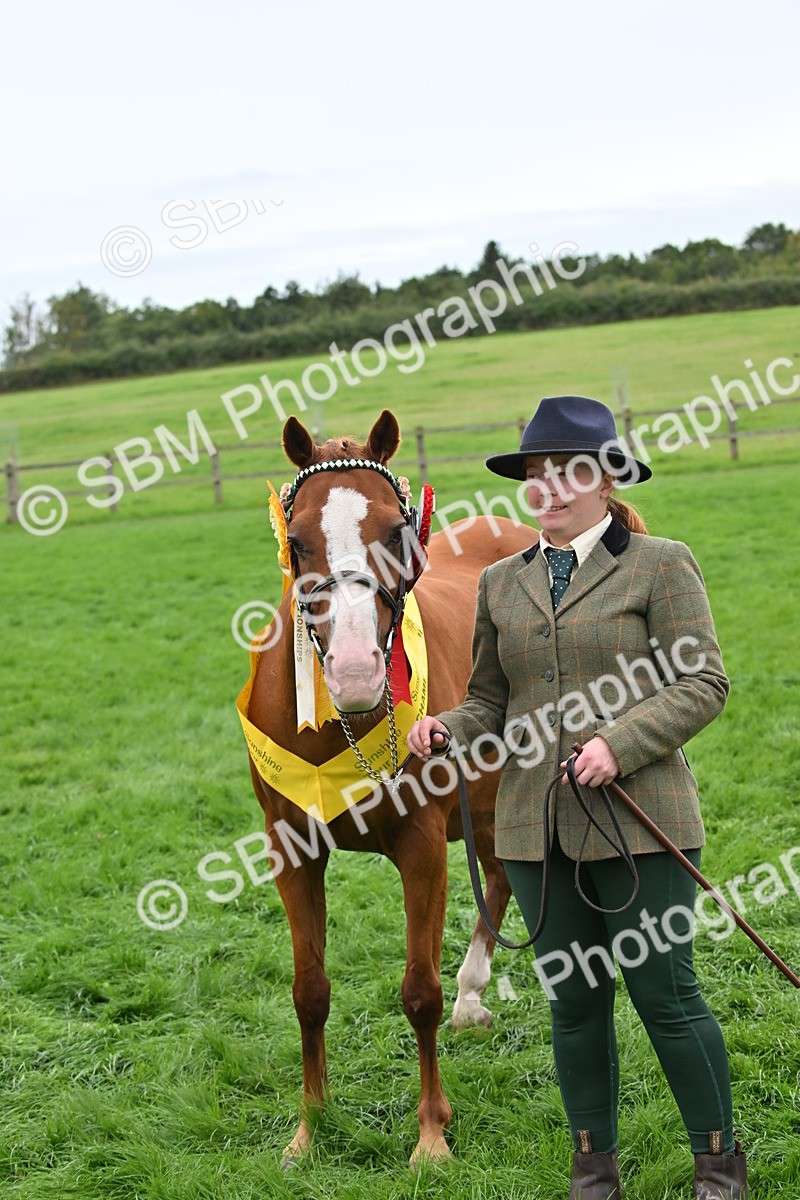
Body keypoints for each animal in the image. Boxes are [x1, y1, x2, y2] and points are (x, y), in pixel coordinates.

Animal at [243, 409, 536, 1167]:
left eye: (397, 533)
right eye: (297, 540)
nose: (353, 671)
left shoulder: (422, 846)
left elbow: (418, 992)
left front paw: (432, 1132)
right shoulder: (292, 852)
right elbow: (309, 990)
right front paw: (311, 1125)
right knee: (502, 870)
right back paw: (473, 995)